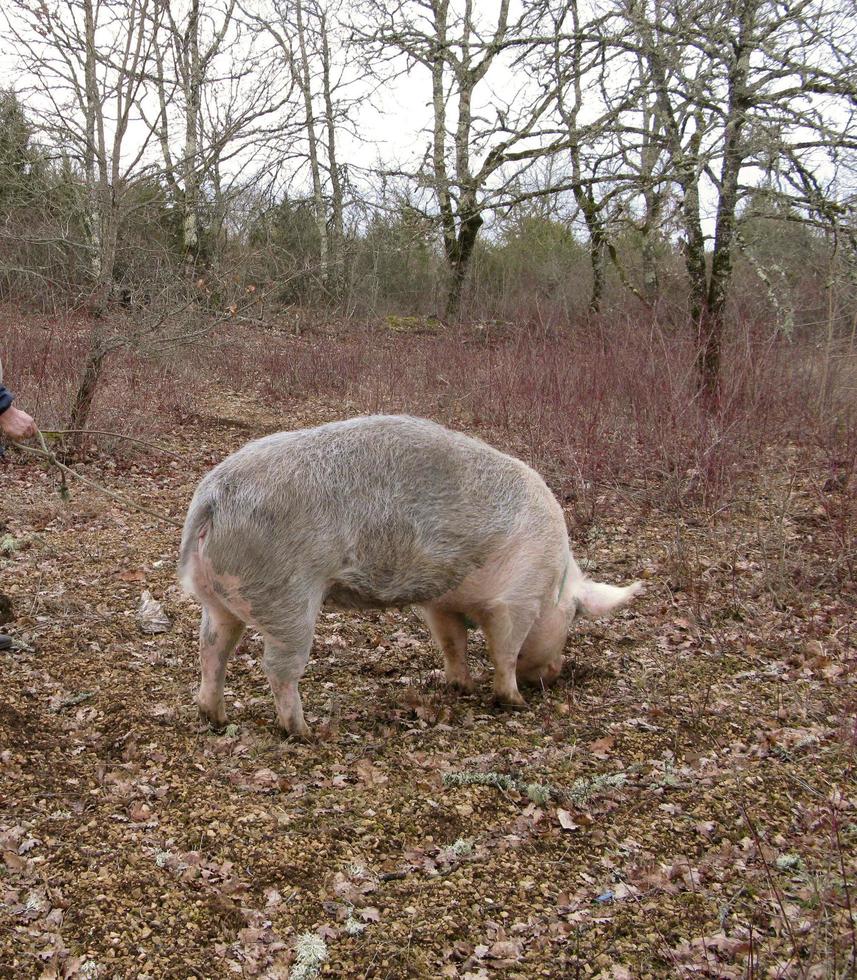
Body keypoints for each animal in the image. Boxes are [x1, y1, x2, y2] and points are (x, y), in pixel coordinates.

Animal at [177, 414, 640, 736]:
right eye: (575, 616)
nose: (555, 674)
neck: (554, 581)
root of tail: (211, 500)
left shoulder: (442, 601)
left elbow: (452, 644)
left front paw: (460, 687)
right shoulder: (517, 598)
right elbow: (505, 651)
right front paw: (514, 702)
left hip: (220, 599)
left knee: (211, 648)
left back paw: (216, 718)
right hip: (287, 597)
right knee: (277, 667)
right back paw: (306, 732)